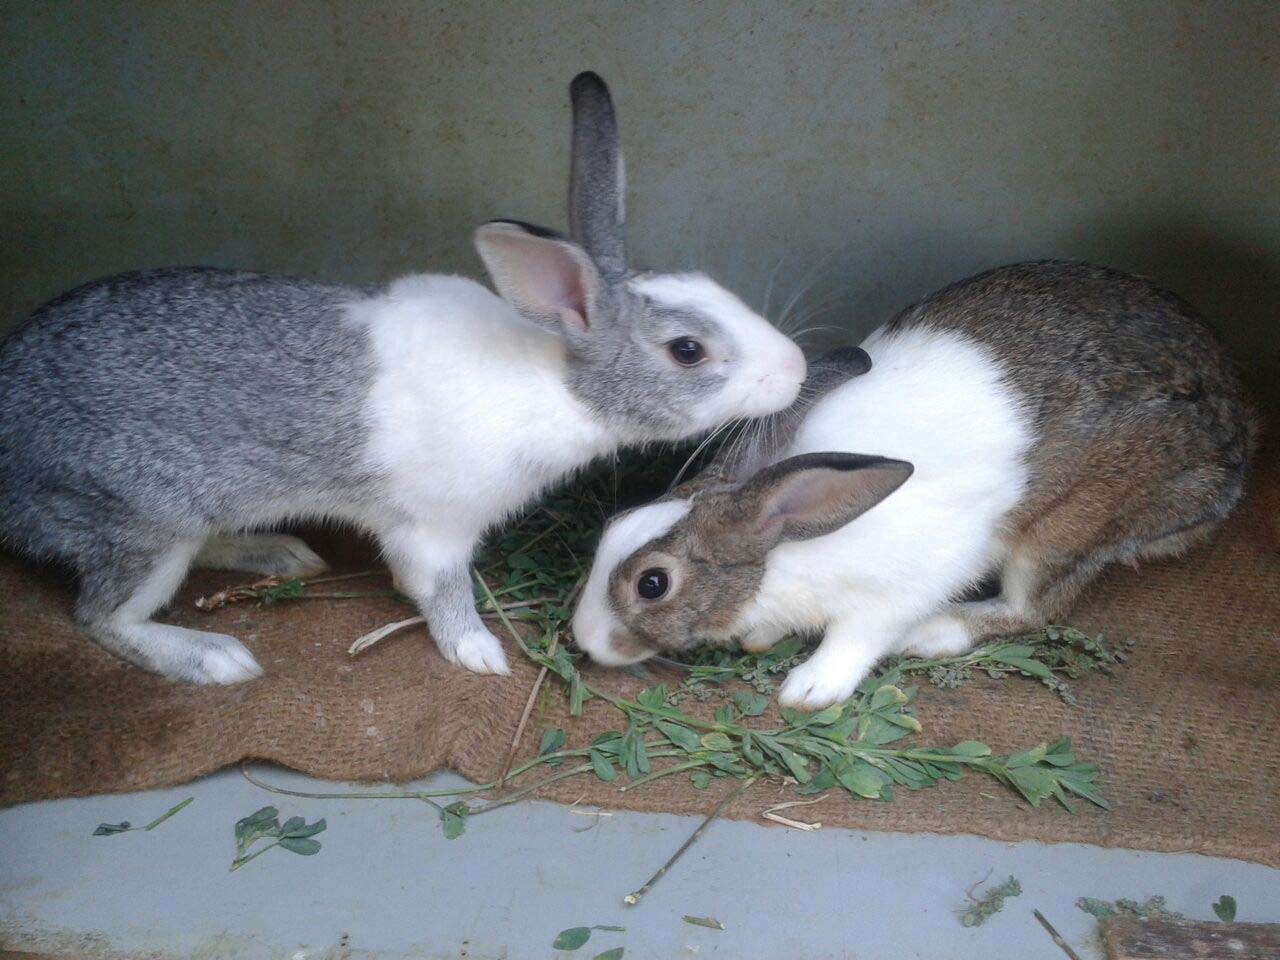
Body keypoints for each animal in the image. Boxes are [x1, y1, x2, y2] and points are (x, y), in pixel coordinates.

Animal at [0, 72, 806, 685]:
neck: (554, 376)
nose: (796, 369)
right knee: (103, 618)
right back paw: (214, 658)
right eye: (688, 351)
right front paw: (481, 654)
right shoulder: (433, 528)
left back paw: (278, 553)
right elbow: (440, 592)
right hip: (142, 523)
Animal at [572, 261, 1258, 710]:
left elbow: (858, 636)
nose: (583, 638)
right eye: (608, 530)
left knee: (1031, 609)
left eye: (653, 584)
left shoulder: (897, 586)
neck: (781, 542)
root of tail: (1236, 461)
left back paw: (934, 634)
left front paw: (809, 689)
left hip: (1071, 525)